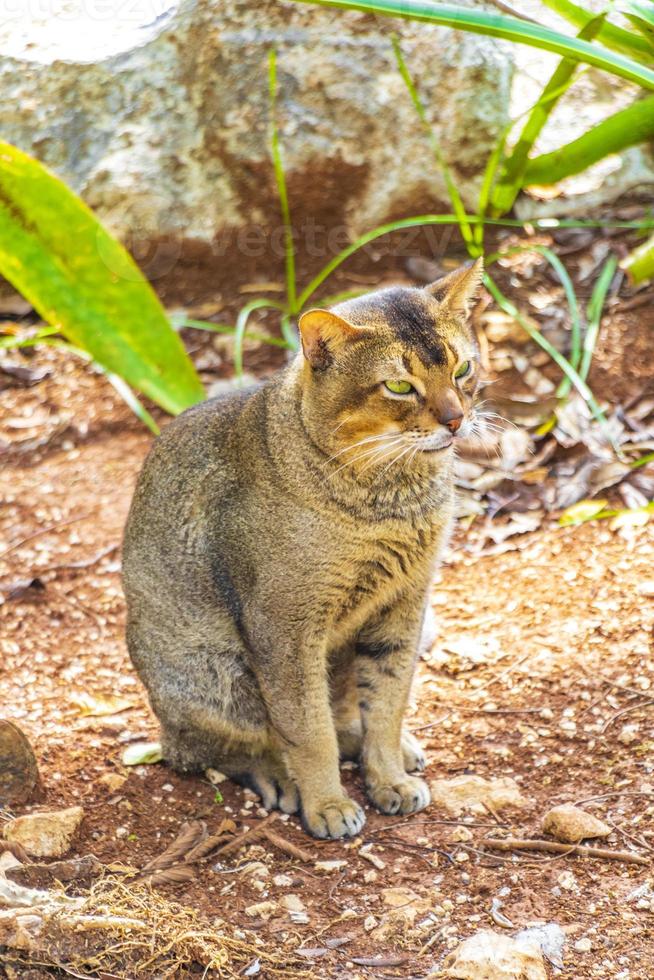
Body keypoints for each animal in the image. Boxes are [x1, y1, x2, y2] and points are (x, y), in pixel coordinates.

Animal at [123, 256, 484, 840]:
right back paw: (280, 779)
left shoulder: (404, 604)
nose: (455, 419)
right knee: (210, 750)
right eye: (398, 386)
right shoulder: (286, 629)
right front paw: (328, 804)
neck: (390, 502)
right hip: (217, 675)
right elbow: (308, 731)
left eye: (462, 369)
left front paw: (388, 777)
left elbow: (388, 704)